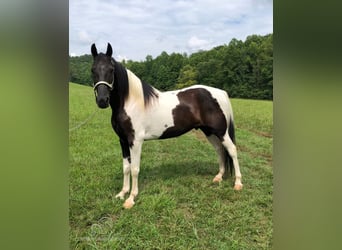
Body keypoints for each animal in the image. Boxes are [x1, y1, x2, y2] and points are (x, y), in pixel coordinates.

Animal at [89, 43, 242, 209]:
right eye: (93, 70)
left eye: (111, 70)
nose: (102, 100)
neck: (131, 102)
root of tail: (220, 93)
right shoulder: (123, 141)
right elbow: (126, 168)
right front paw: (122, 193)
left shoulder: (135, 141)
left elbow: (135, 169)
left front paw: (131, 199)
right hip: (209, 132)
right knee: (220, 150)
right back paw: (218, 177)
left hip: (221, 131)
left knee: (232, 150)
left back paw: (238, 183)